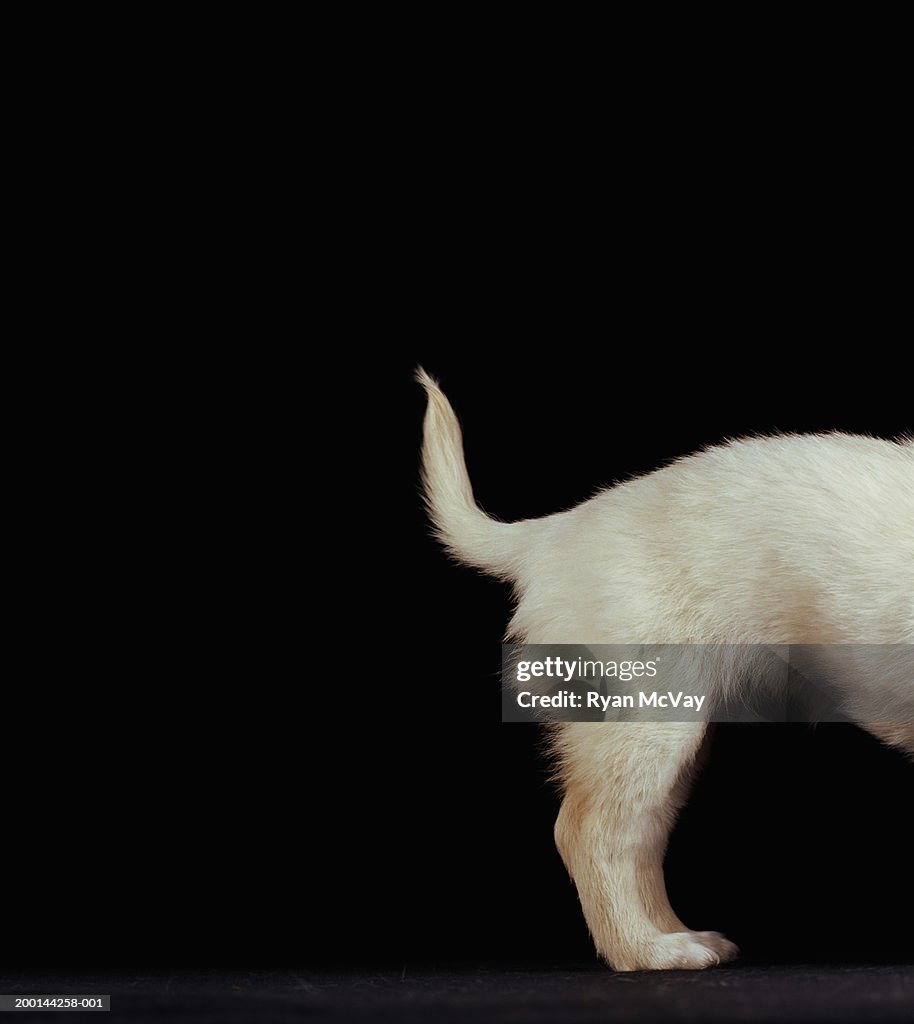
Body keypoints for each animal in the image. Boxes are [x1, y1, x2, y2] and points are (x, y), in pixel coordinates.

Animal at [415, 368, 912, 966]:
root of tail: (554, 533)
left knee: (639, 837)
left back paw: (673, 934)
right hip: (650, 720)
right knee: (588, 831)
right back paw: (646, 951)